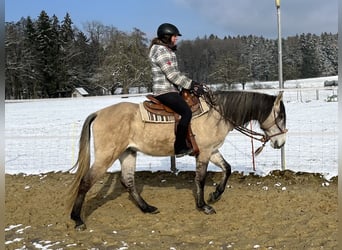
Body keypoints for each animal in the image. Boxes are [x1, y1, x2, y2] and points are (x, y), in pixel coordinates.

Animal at [67, 90, 286, 230]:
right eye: (280, 116)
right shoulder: (204, 152)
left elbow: (228, 168)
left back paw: (147, 208)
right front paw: (203, 206)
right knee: (86, 182)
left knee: (128, 181)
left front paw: (215, 194)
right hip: (107, 155)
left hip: (128, 153)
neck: (217, 114)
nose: (281, 143)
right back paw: (77, 219)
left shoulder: (212, 150)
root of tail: (99, 113)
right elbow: (200, 179)